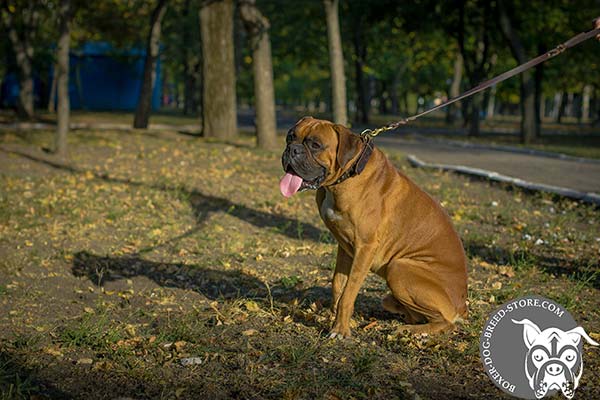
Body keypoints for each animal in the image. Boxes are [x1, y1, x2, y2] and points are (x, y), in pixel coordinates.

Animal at [280, 117, 468, 340]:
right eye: (290, 137)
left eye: (315, 145)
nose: (292, 149)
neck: (347, 175)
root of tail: (462, 305)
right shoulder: (345, 247)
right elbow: (337, 283)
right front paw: (333, 316)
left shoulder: (365, 248)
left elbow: (348, 292)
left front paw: (340, 329)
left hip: (399, 267)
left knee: (446, 323)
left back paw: (412, 331)